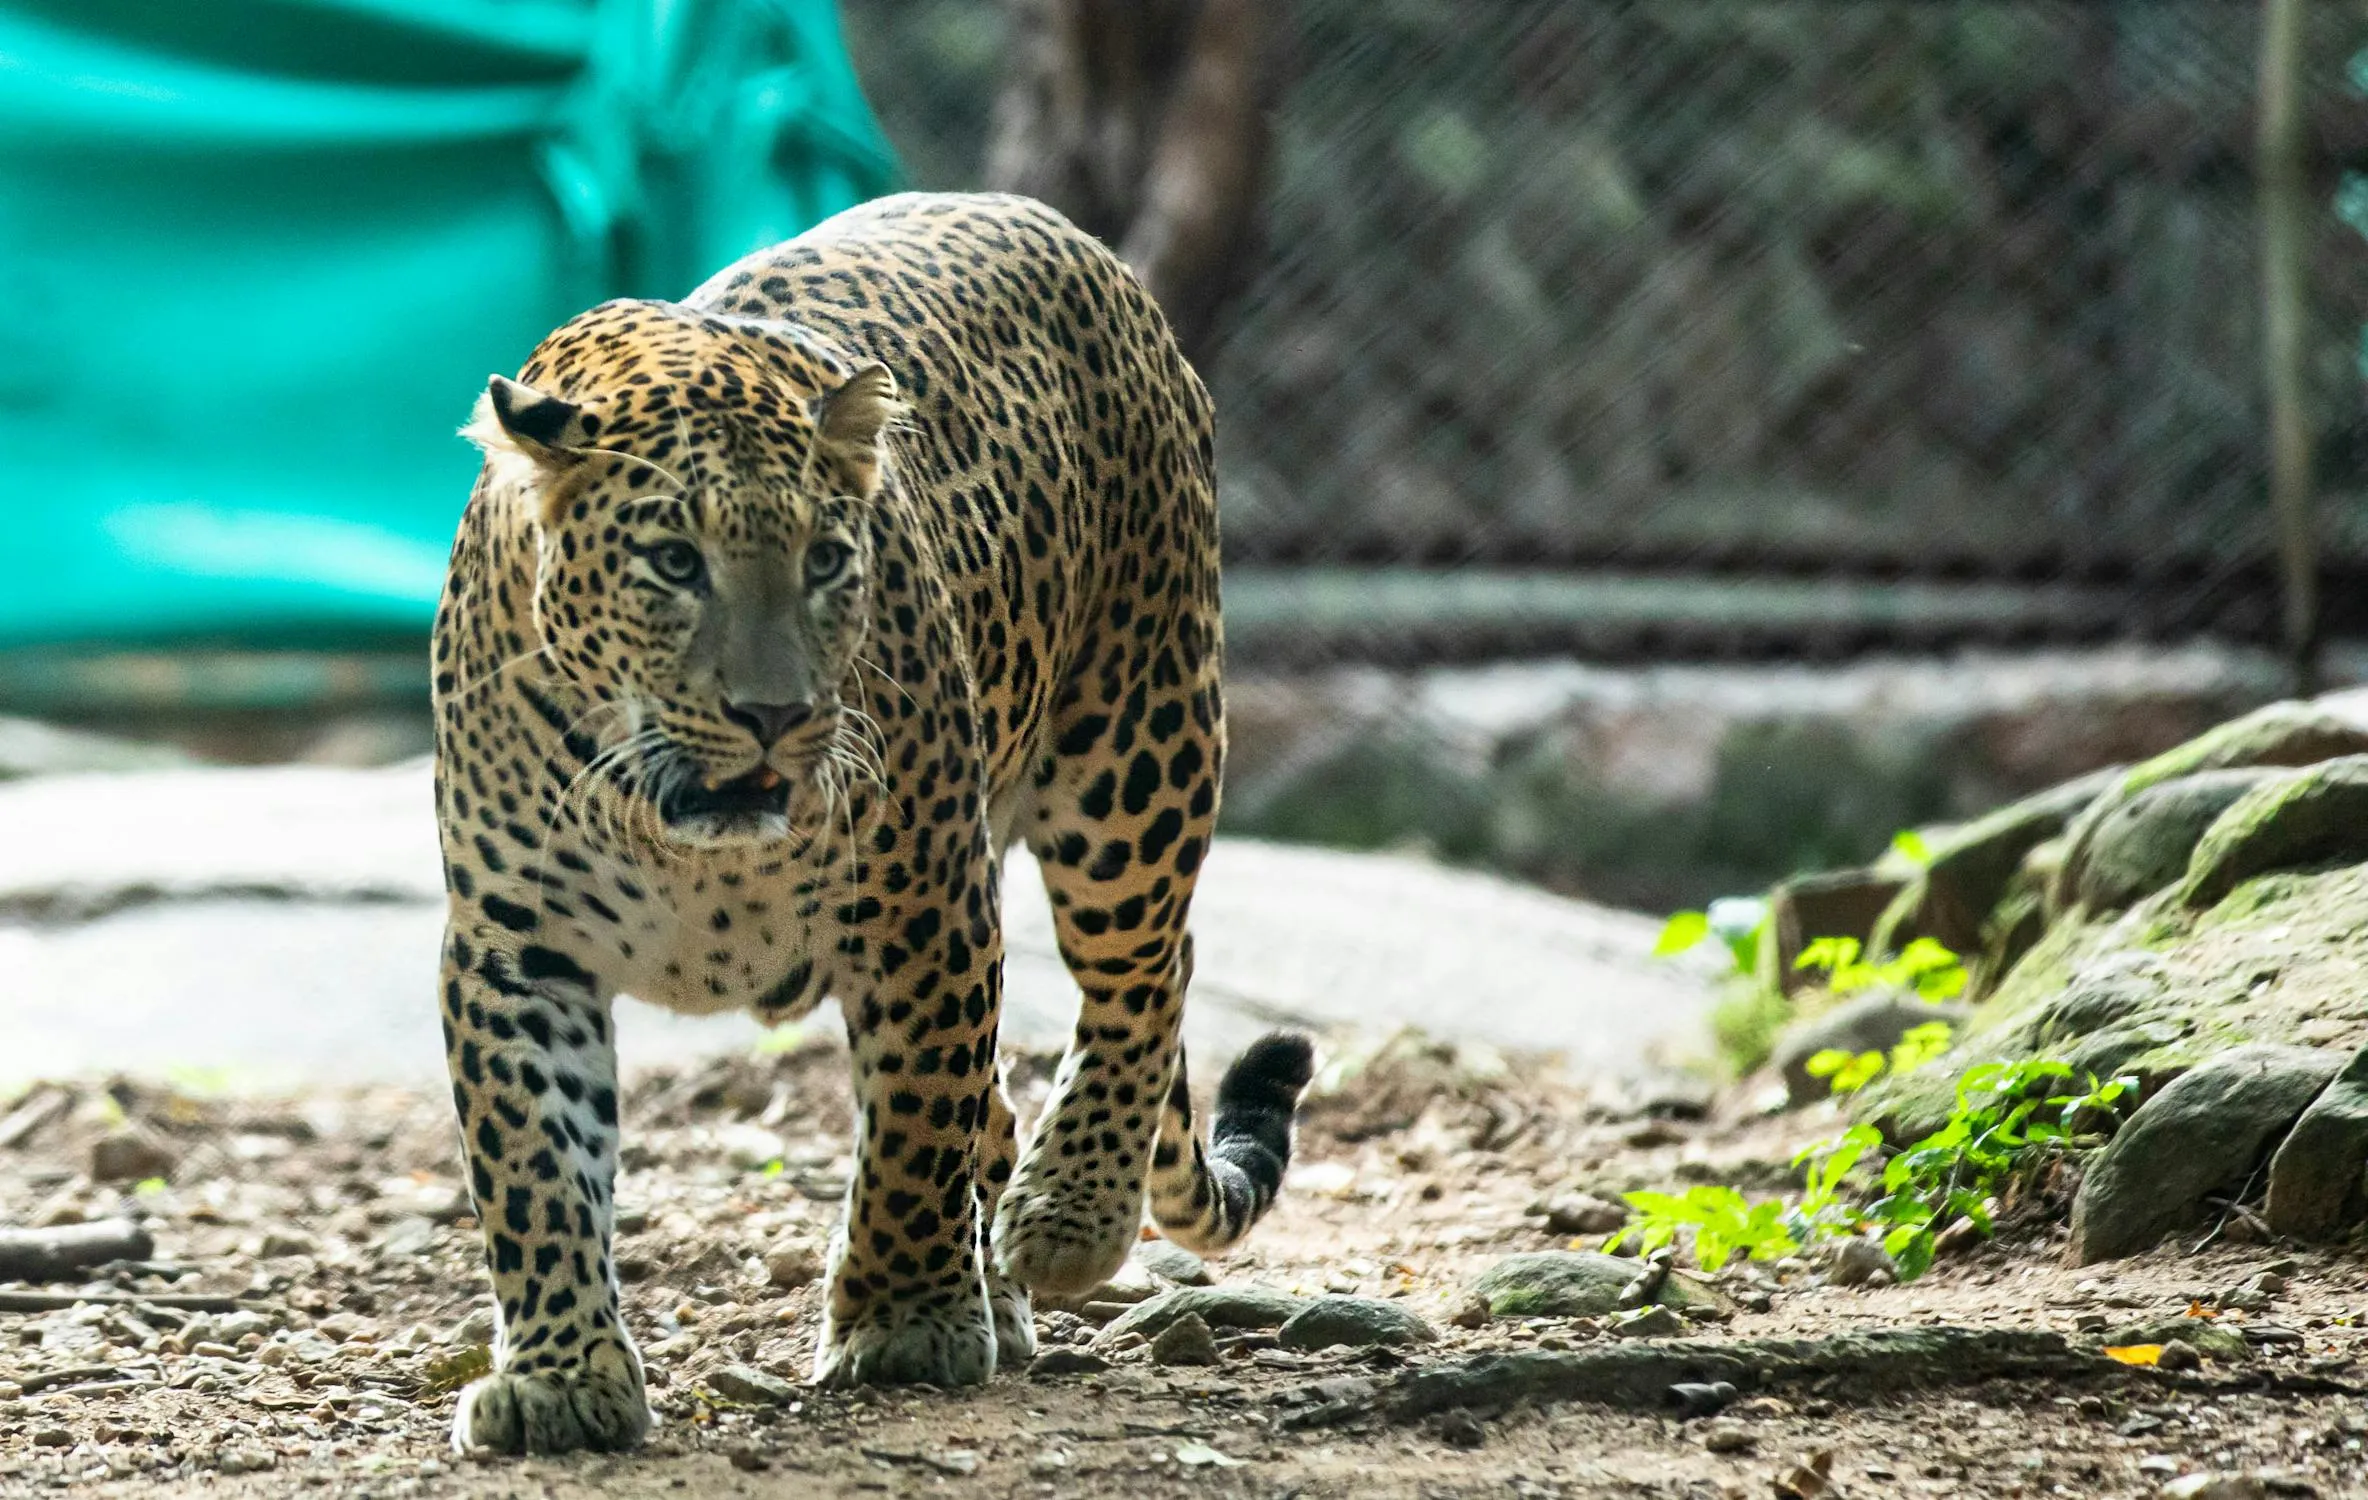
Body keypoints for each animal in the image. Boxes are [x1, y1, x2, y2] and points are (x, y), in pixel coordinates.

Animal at [428, 191, 1314, 1457]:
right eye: (673, 561)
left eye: (825, 559)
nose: (773, 714)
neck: (679, 834)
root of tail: (1066, 234)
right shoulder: (516, 944)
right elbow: (536, 1166)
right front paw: (561, 1378)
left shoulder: (927, 908)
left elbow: (913, 1120)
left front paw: (902, 1324)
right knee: (1010, 1098)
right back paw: (1004, 1293)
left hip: (1138, 750)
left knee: (1148, 970)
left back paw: (1067, 1215)